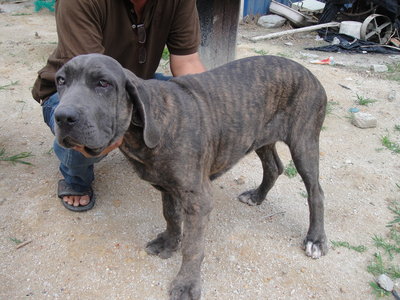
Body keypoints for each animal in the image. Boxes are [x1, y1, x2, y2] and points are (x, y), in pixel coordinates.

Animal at [54, 54, 328, 300]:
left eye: (103, 83)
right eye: (61, 80)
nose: (62, 117)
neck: (149, 127)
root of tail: (309, 73)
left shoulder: (199, 199)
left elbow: (193, 247)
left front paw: (187, 283)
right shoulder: (168, 188)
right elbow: (171, 217)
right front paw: (168, 243)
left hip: (304, 143)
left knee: (316, 191)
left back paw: (315, 239)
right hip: (260, 136)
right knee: (274, 167)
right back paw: (257, 196)